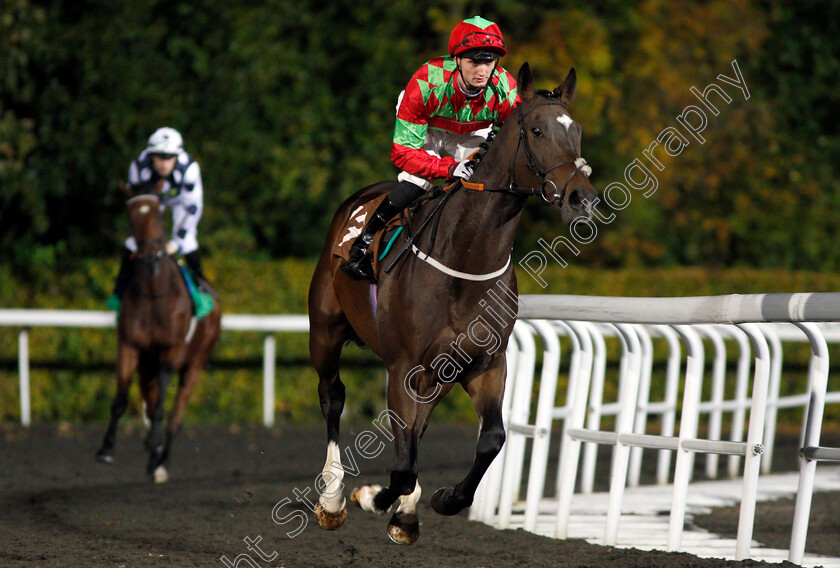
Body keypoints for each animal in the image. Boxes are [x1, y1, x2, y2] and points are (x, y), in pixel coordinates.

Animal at [96, 180, 221, 482]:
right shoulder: (130, 346)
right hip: (146, 364)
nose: (151, 259)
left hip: (195, 363)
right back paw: (153, 456)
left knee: (176, 414)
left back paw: (161, 460)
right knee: (150, 400)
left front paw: (155, 443)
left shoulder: (172, 348)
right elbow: (121, 398)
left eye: (156, 214)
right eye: (131, 215)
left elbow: (164, 399)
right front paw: (107, 447)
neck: (154, 294)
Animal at [308, 62, 596, 540]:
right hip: (326, 330)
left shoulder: (484, 364)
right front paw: (372, 497)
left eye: (577, 132)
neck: (466, 260)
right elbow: (403, 463)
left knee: (417, 426)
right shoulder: (403, 366)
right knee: (333, 395)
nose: (582, 199)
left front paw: (443, 499)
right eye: (536, 130)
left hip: (436, 376)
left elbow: (491, 439)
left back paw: (406, 509)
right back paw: (332, 499)